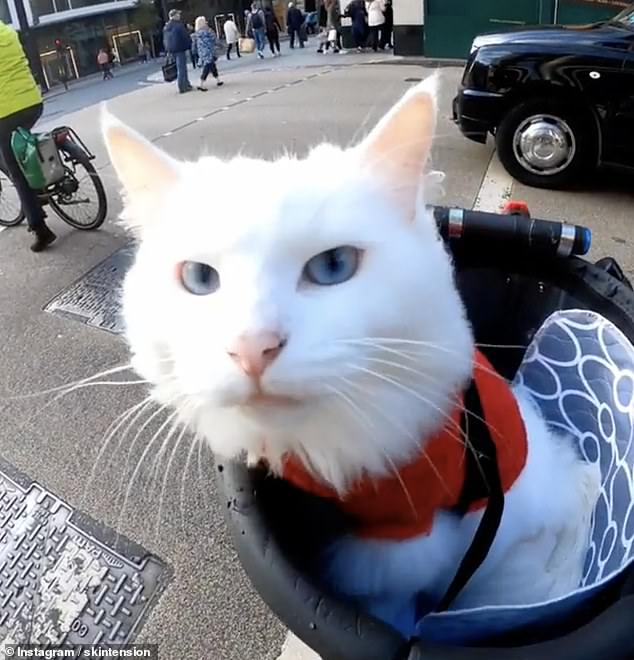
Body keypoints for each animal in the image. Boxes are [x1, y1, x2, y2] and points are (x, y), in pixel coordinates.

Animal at [102, 76, 596, 636]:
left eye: (334, 266)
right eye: (200, 278)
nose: (253, 348)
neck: (321, 443)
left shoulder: (408, 533)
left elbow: (391, 595)